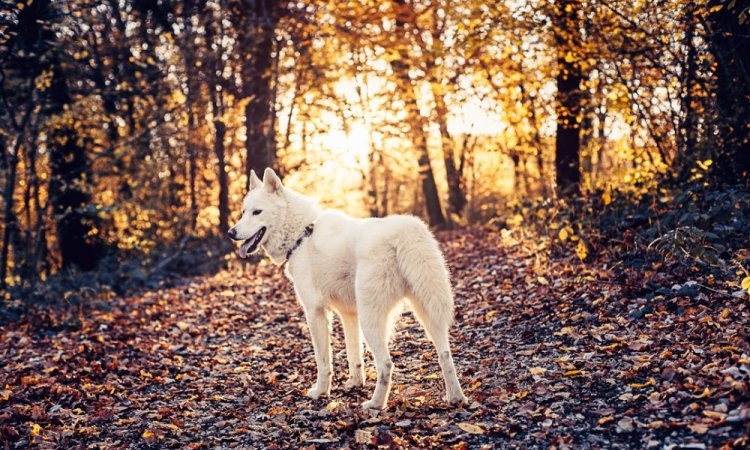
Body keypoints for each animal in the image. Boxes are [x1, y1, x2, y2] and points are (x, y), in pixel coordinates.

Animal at [226, 169, 468, 412]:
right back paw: (456, 398)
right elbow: (354, 354)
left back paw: (375, 404)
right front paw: (354, 383)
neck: (301, 235)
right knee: (445, 355)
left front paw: (320, 392)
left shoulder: (315, 313)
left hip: (372, 318)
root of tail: (403, 230)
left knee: (386, 365)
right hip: (427, 312)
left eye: (257, 212)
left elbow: (323, 362)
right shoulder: (349, 314)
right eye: (243, 212)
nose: (230, 232)